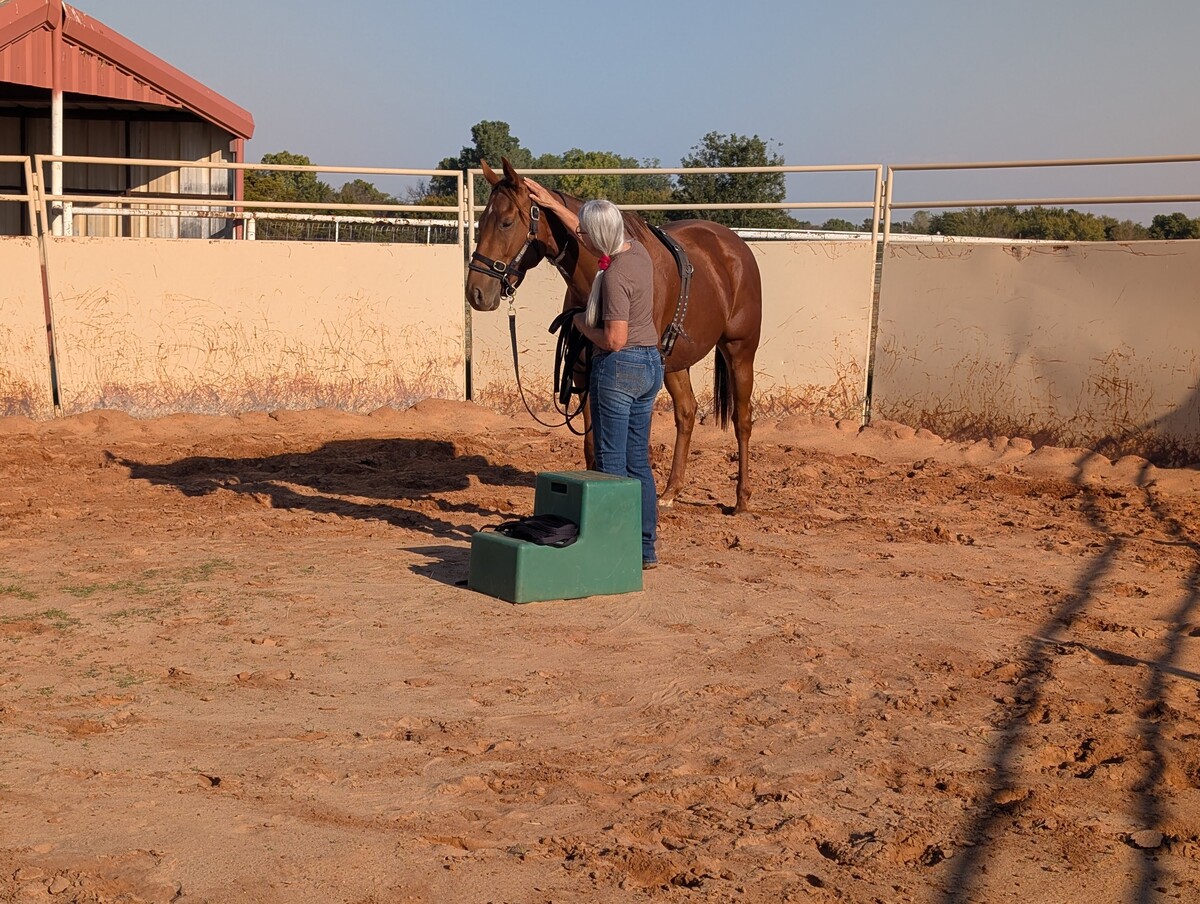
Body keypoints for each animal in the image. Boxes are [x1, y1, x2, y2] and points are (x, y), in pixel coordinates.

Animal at [466, 158, 762, 514]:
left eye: (507, 222)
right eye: (481, 222)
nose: (476, 292)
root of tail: (735, 246)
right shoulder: (583, 373)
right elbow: (593, 447)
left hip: (739, 352)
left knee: (742, 419)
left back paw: (742, 499)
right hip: (674, 363)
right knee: (687, 413)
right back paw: (671, 491)